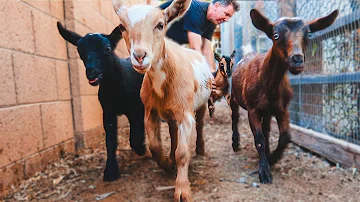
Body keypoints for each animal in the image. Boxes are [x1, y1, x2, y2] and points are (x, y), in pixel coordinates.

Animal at [56, 22, 146, 181]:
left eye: (107, 49)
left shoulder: (136, 109)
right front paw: (110, 170)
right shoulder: (108, 112)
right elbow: (110, 141)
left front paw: (141, 149)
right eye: (79, 50)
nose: (91, 72)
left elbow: (135, 136)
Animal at [231, 9, 338, 183]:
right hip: (234, 97)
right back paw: (235, 143)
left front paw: (272, 158)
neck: (269, 86)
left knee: (267, 128)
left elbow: (285, 136)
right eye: (275, 35)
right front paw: (264, 172)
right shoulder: (252, 109)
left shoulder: (282, 109)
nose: (297, 59)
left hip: (267, 111)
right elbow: (259, 139)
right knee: (234, 117)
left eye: (309, 34)